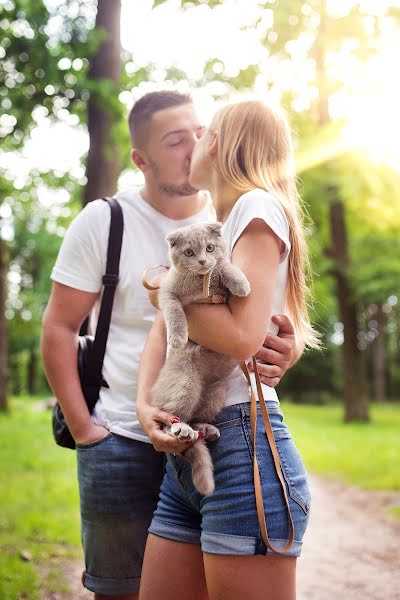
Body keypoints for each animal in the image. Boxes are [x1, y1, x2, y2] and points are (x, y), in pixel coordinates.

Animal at [151, 223, 250, 494]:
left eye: (210, 247)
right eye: (188, 252)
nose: (203, 260)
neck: (199, 281)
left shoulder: (219, 271)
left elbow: (224, 266)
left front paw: (241, 283)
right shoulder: (167, 292)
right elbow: (174, 311)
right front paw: (178, 337)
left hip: (214, 393)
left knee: (196, 418)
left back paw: (205, 429)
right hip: (185, 382)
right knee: (170, 419)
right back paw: (180, 429)